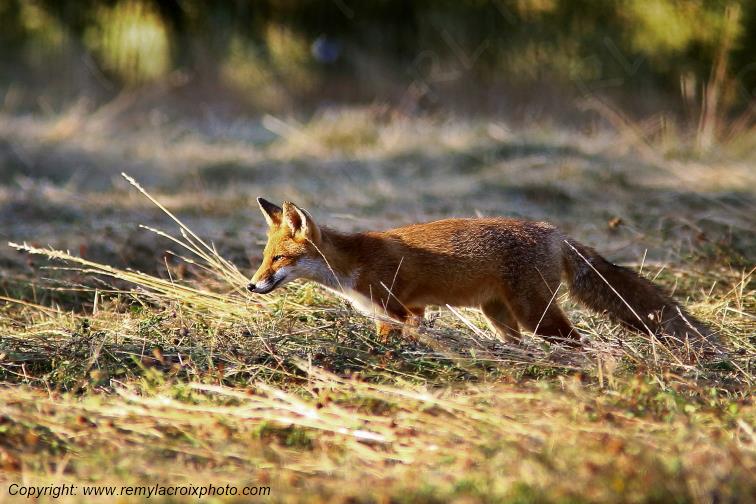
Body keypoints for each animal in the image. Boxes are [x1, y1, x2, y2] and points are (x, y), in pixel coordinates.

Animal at [248, 198, 718, 351]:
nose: (251, 285)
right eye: (265, 258)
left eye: (278, 259)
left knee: (575, 340)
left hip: (535, 314)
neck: (351, 265)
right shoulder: (401, 313)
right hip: (500, 314)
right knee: (518, 342)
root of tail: (555, 231)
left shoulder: (400, 310)